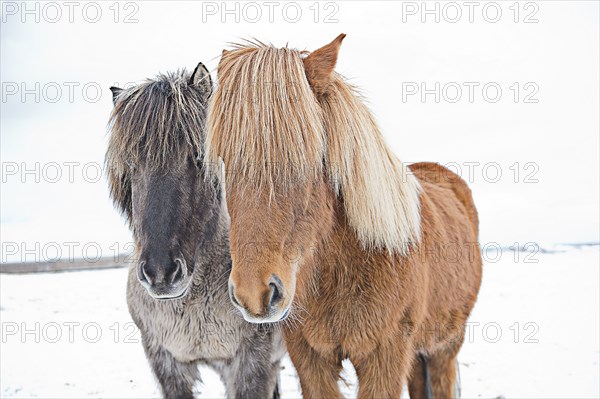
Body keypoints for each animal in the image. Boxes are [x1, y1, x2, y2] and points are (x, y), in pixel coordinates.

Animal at [206, 35, 482, 399]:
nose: (254, 294)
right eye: (225, 160)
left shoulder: (386, 359)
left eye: (309, 157)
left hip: (444, 348)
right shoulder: (310, 359)